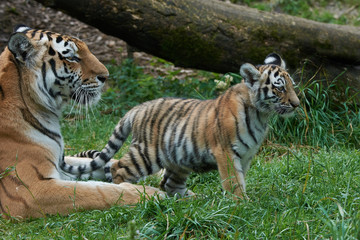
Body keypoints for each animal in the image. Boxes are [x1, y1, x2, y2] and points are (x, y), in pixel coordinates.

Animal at [0, 25, 160, 218]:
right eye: (72, 57)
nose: (106, 76)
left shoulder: (60, 160)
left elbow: (99, 163)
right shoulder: (29, 191)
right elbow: (99, 191)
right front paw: (154, 194)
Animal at [64, 53, 298, 199]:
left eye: (292, 86)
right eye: (279, 88)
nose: (297, 104)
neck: (261, 114)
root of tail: (138, 108)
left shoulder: (246, 155)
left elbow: (240, 179)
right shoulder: (226, 152)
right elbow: (233, 181)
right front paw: (241, 203)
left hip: (178, 160)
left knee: (169, 185)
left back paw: (194, 199)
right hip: (146, 154)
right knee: (117, 167)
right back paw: (127, 189)